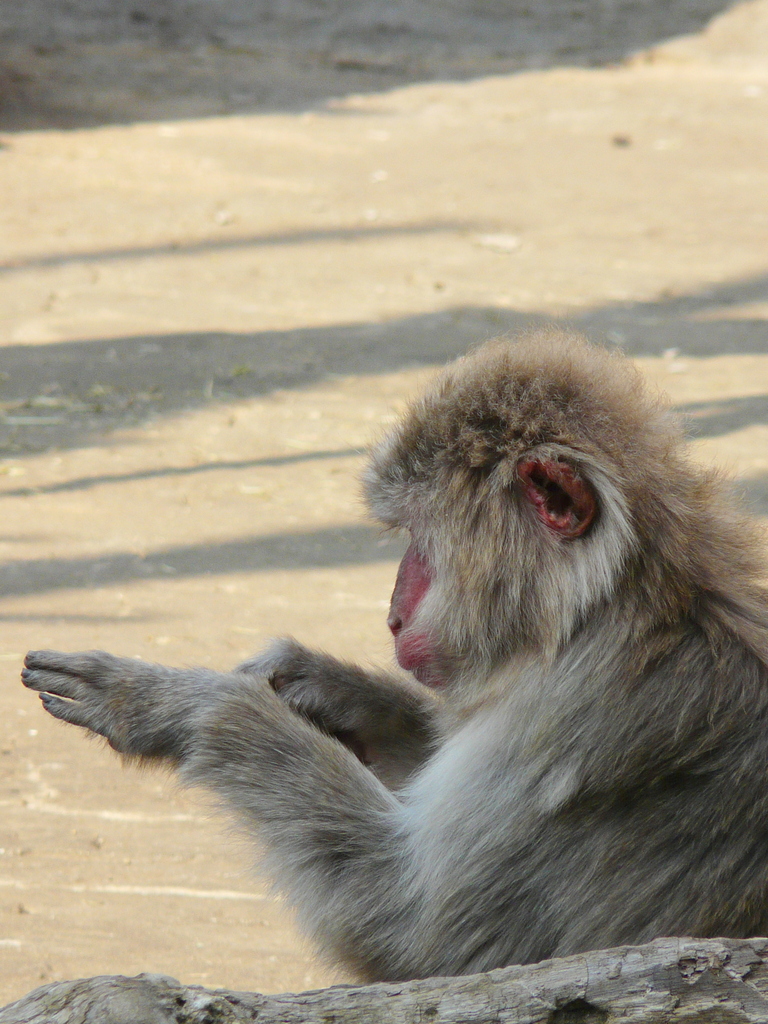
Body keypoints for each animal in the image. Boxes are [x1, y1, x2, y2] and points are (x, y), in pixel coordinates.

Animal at [19, 329, 768, 983]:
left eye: (416, 534)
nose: (393, 614)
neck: (606, 610)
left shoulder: (573, 720)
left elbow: (421, 934)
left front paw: (179, 703)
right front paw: (321, 687)